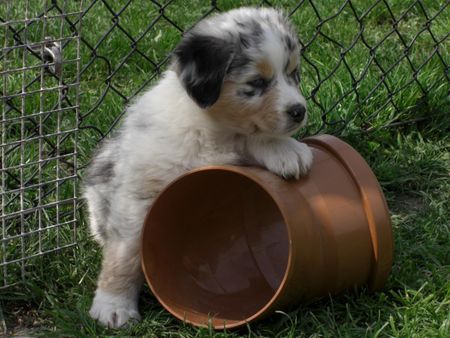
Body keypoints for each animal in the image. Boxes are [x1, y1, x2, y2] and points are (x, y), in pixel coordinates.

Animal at [83, 6, 312, 326]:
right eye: (256, 83)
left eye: (294, 73)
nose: (299, 111)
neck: (211, 129)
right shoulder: (138, 194)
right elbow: (124, 254)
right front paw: (113, 307)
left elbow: (250, 138)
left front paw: (287, 150)